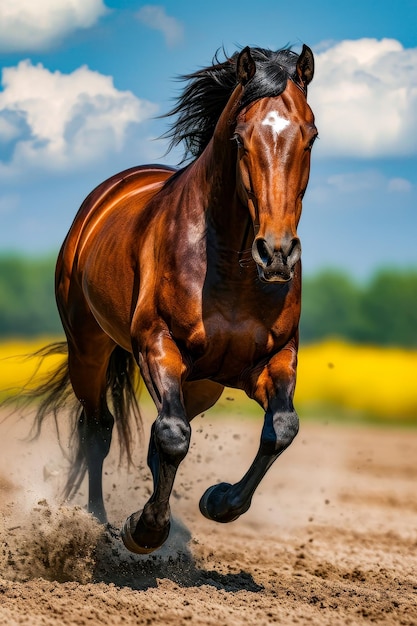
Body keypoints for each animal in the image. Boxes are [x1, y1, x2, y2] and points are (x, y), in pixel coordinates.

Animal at [32, 42, 316, 552]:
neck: (230, 264)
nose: (277, 253)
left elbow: (281, 428)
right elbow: (171, 435)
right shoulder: (158, 344)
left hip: (201, 384)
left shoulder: (273, 357)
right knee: (99, 428)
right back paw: (97, 520)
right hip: (89, 349)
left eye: (311, 136)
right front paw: (142, 531)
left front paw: (218, 501)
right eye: (240, 139)